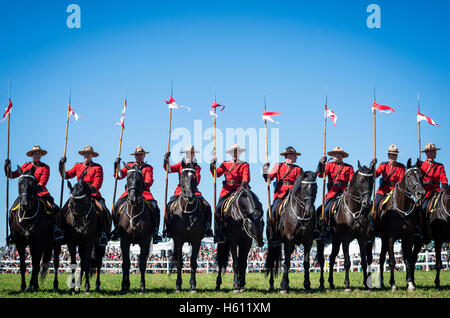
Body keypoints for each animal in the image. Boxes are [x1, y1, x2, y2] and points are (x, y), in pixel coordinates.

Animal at [112, 164, 158, 294]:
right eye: (128, 178)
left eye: (140, 179)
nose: (132, 198)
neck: (133, 212)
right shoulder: (124, 241)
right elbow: (126, 263)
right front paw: (124, 286)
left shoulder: (144, 241)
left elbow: (142, 264)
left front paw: (142, 287)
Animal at [316, 160, 376, 292]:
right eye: (361, 181)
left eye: (372, 181)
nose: (367, 203)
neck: (354, 210)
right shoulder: (346, 239)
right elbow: (347, 262)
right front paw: (347, 285)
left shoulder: (362, 238)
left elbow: (364, 261)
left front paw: (366, 284)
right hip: (321, 241)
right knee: (322, 260)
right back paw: (322, 283)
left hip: (335, 241)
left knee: (332, 258)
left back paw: (331, 283)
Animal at [366, 158, 426, 292]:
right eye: (408, 176)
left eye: (421, 176)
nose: (421, 192)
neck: (401, 210)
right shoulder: (390, 238)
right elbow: (392, 261)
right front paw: (393, 284)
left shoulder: (408, 238)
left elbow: (408, 260)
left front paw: (410, 283)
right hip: (377, 239)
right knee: (376, 259)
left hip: (384, 240)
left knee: (381, 258)